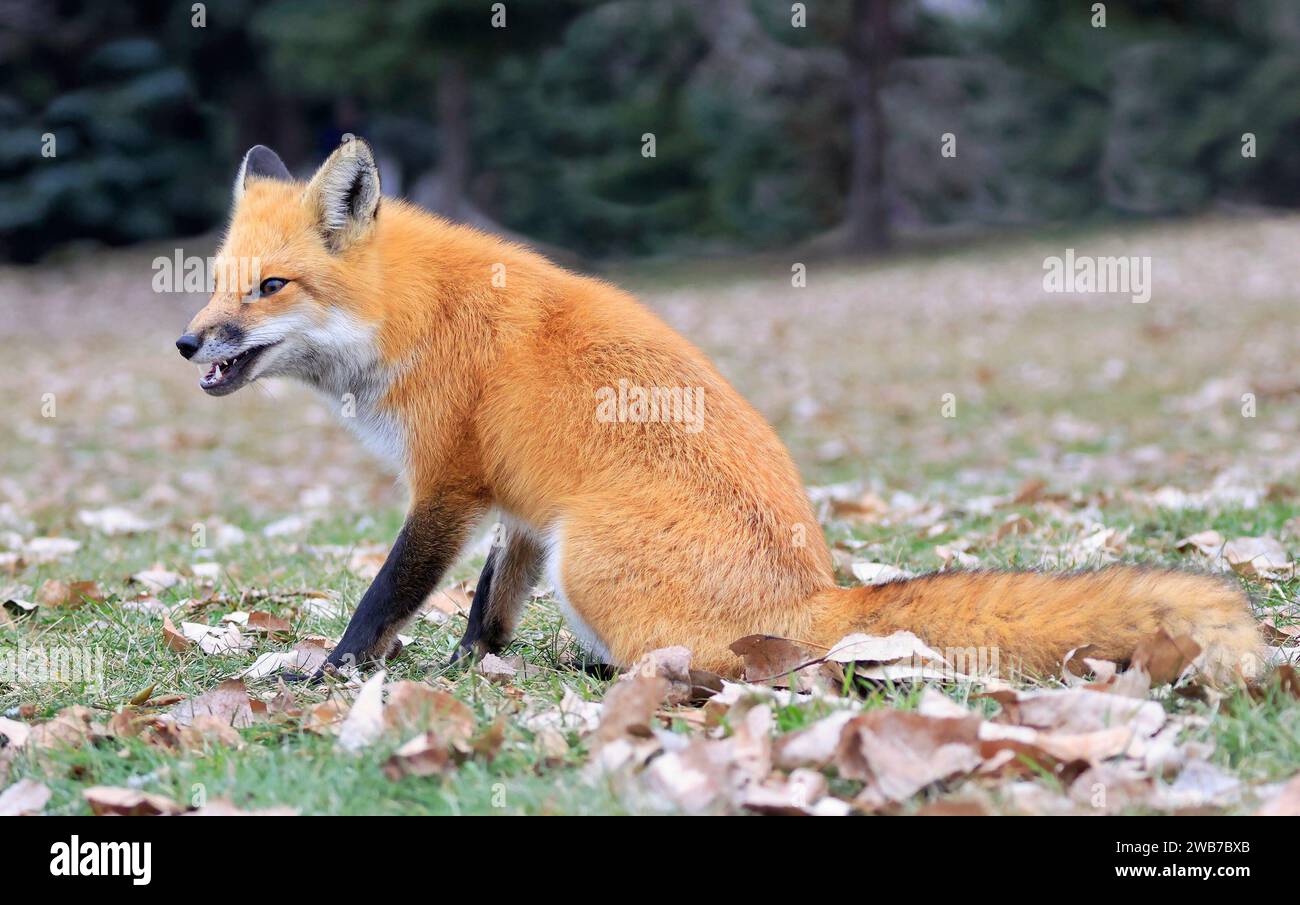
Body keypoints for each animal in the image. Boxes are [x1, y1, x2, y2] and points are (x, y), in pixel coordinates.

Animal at [175, 139, 1258, 676]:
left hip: (588, 554)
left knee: (712, 666)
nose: (187, 344)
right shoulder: (519, 508)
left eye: (270, 288)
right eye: (215, 284)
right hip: (567, 539)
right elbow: (490, 604)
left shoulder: (448, 484)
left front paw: (329, 674)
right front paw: (467, 663)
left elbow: (383, 598)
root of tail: (818, 592)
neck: (412, 315)